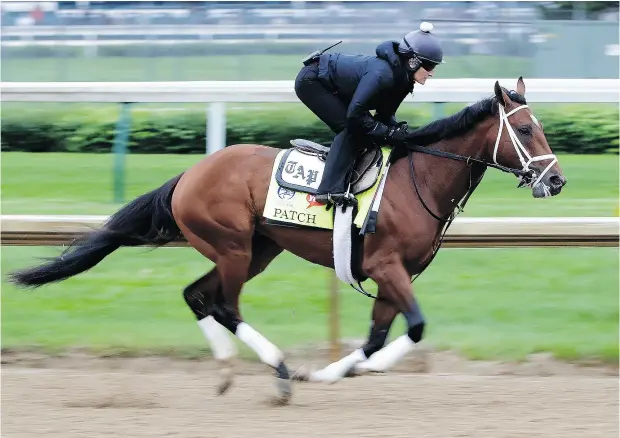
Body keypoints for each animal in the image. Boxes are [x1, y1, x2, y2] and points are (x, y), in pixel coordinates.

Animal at [7, 77, 568, 406]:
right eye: (524, 129)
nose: (557, 181)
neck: (421, 182)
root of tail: (190, 172)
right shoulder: (387, 267)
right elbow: (415, 327)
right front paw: (337, 374)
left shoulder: (396, 275)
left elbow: (376, 337)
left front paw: (338, 373)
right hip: (233, 247)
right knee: (223, 305)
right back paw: (277, 371)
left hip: (255, 249)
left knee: (195, 296)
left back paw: (228, 372)